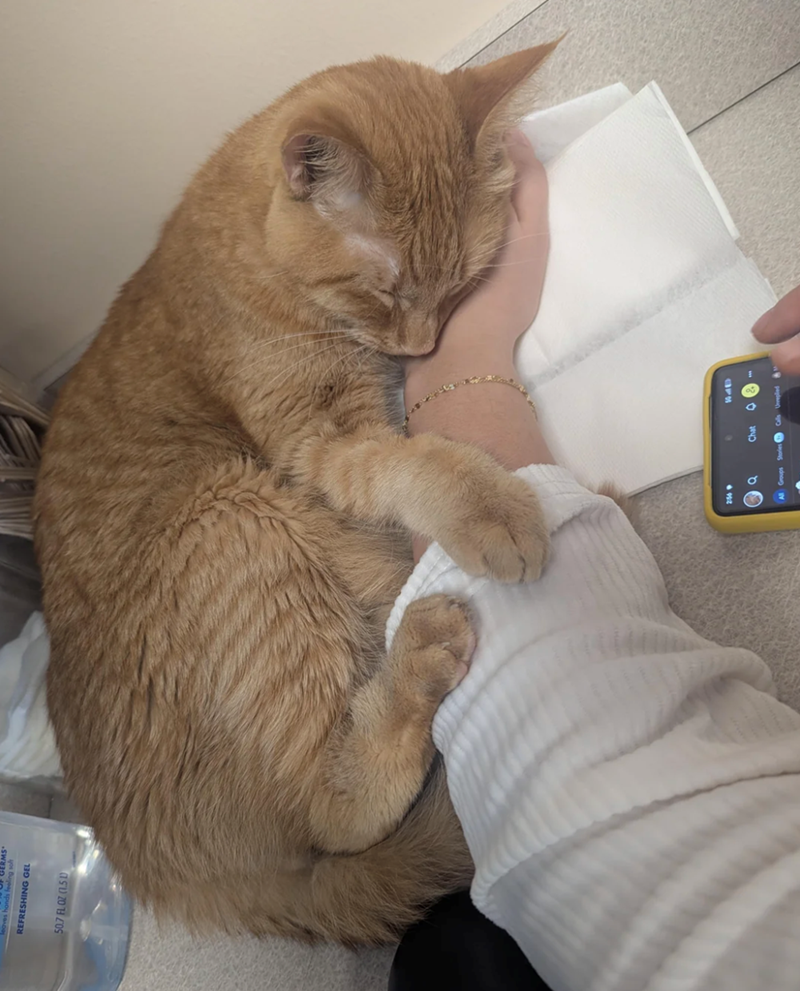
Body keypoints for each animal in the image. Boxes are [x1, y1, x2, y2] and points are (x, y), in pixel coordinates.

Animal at [34, 43, 556, 945]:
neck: (247, 250)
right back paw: (419, 658)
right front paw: (491, 505)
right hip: (231, 511)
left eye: (458, 283)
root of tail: (157, 872)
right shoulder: (318, 447)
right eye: (382, 287)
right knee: (335, 811)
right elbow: (415, 464)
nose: (422, 345)